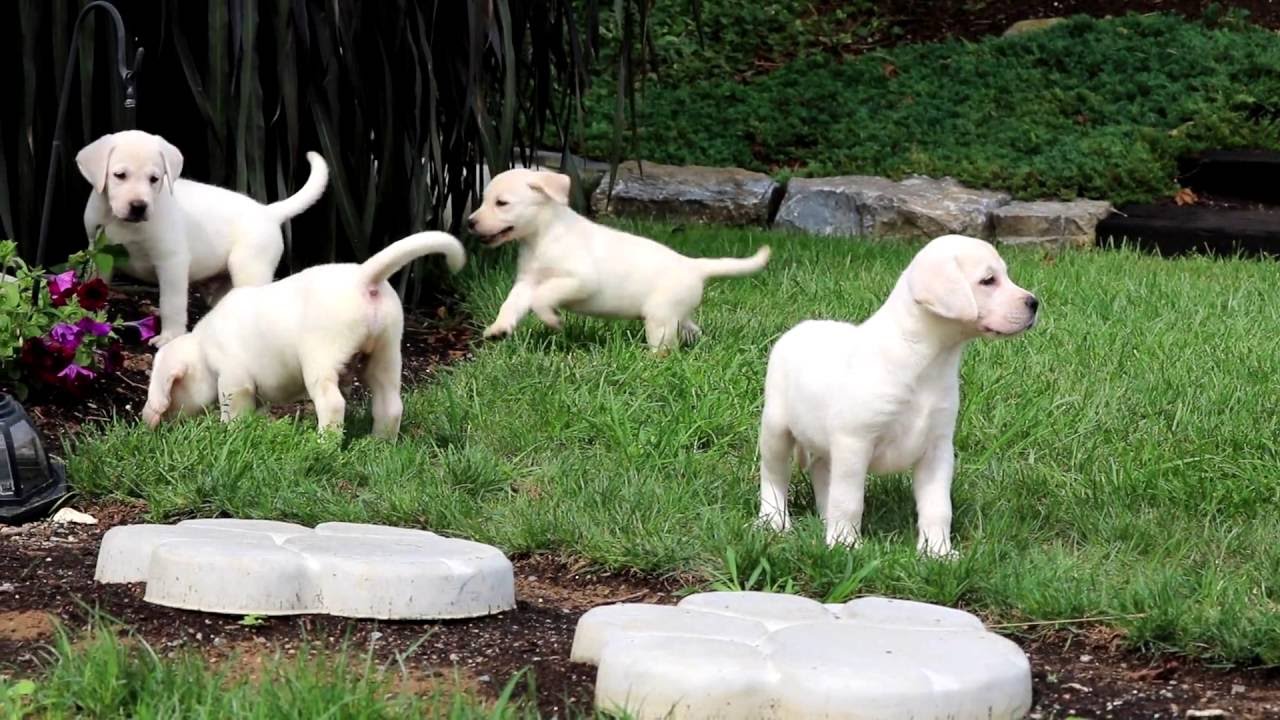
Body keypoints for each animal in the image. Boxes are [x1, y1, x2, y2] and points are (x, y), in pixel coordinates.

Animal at [77, 130, 327, 345]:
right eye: (120, 175)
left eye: (154, 179)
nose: (139, 206)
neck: (122, 222)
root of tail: (268, 211)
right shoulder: (98, 253)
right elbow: (95, 286)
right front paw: (89, 318)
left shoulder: (172, 262)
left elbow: (171, 303)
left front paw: (170, 337)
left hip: (249, 267)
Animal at [142, 230, 463, 438]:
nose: (153, 424)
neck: (202, 347)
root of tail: (364, 279)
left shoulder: (235, 382)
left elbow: (234, 413)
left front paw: (228, 435)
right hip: (385, 356)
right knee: (391, 406)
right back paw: (380, 444)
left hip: (320, 362)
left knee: (333, 405)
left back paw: (324, 445)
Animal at [471, 166, 768, 351]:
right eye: (484, 200)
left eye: (501, 203)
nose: (470, 222)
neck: (543, 235)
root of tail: (693, 265)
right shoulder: (526, 283)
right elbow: (511, 304)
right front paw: (499, 329)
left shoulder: (581, 280)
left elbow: (543, 296)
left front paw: (552, 319)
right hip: (676, 314)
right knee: (691, 329)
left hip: (659, 317)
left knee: (666, 346)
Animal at [757, 234, 1039, 556]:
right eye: (988, 280)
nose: (1034, 303)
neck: (925, 359)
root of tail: (801, 327)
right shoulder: (854, 442)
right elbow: (849, 500)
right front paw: (845, 544)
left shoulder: (937, 448)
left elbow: (938, 506)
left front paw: (938, 551)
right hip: (776, 428)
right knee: (774, 475)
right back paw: (774, 521)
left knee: (821, 470)